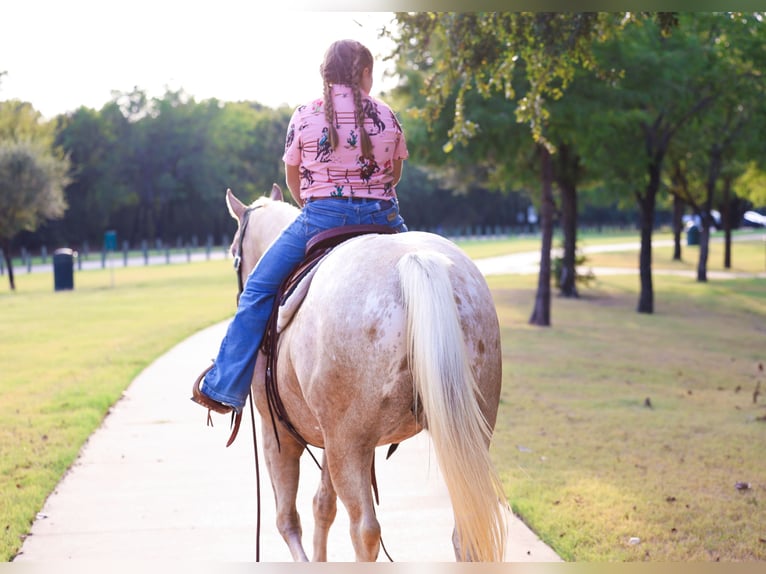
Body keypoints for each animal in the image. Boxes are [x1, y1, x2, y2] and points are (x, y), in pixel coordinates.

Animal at [225, 184, 508, 562]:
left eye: (233, 254)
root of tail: (415, 262)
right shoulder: (330, 438)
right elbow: (323, 505)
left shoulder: (279, 432)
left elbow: (287, 518)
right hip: (466, 431)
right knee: (466, 533)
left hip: (348, 444)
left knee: (364, 530)